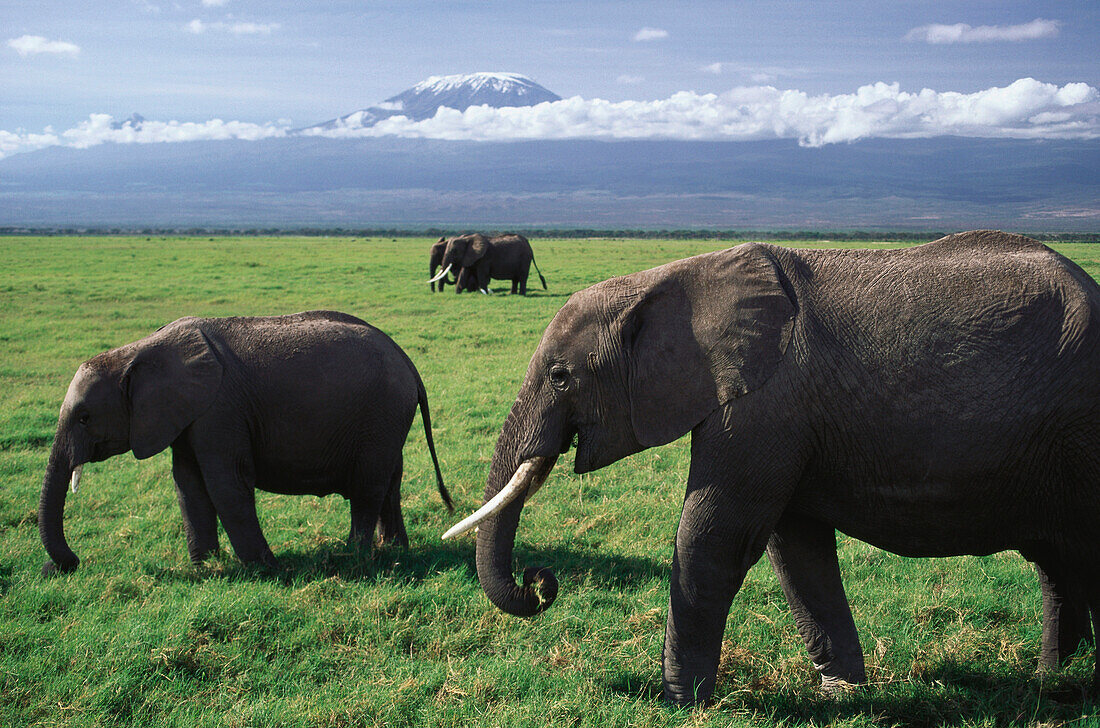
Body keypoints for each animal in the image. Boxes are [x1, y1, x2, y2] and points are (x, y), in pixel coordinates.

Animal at [38, 310, 451, 580]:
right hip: (387, 419)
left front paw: (265, 568)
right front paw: (205, 567)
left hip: (381, 413)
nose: (65, 565)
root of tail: (408, 362)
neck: (138, 351)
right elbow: (188, 483)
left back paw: (352, 556)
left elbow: (226, 484)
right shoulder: (189, 413)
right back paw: (394, 552)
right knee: (390, 482)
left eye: (84, 417)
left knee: (367, 487)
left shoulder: (220, 410)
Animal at [446, 232, 1100, 708]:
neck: (666, 280)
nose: (540, 582)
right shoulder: (784, 416)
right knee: (1058, 564)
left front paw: (681, 703)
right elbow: (797, 550)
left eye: (560, 377)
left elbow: (715, 539)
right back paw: (1054, 682)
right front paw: (842, 696)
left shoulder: (763, 404)